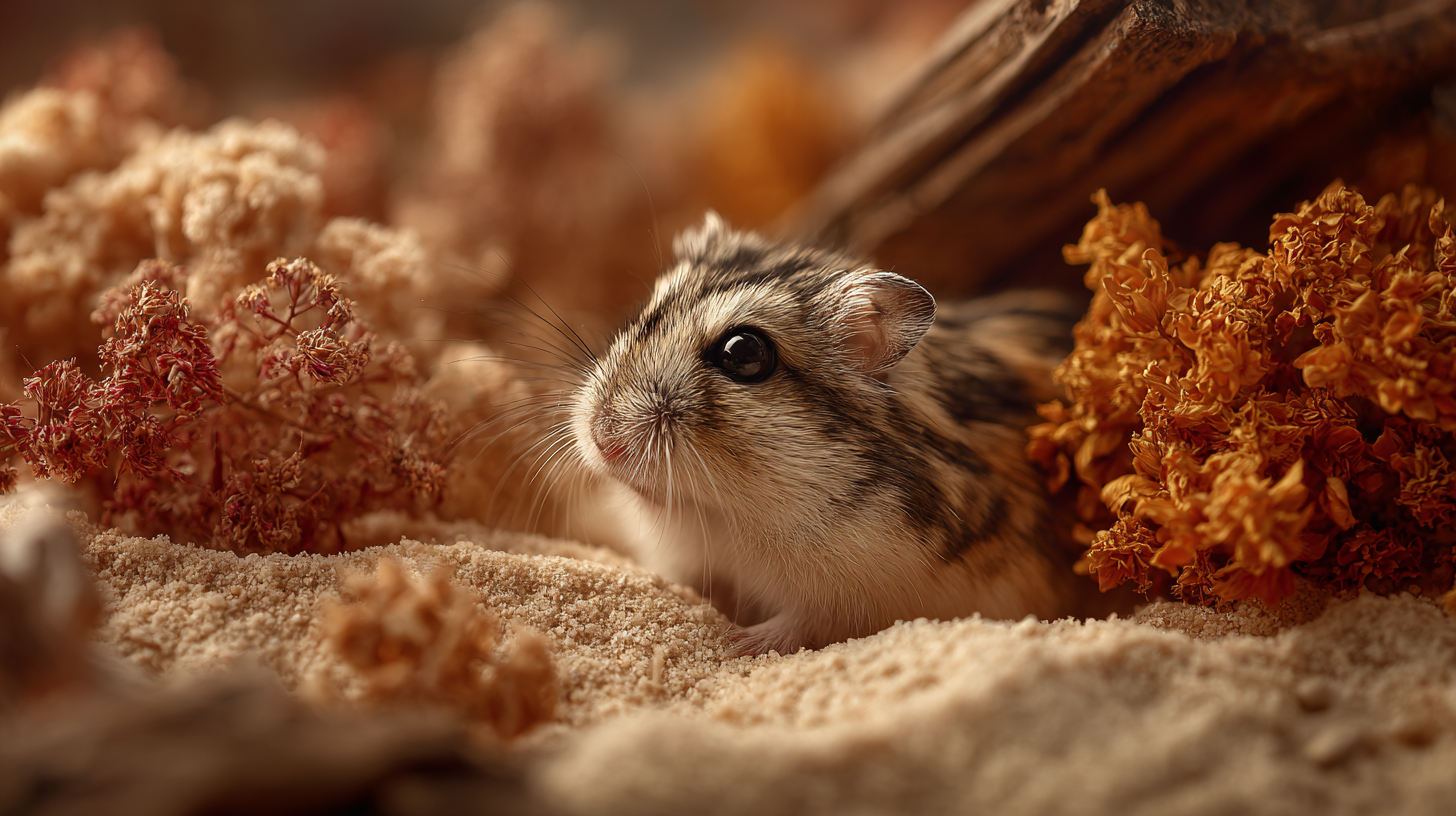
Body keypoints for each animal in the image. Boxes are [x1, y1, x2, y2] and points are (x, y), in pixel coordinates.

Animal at [570, 213, 1080, 655]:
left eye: (745, 353)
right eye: (644, 311)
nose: (602, 439)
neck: (725, 515)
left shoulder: (864, 588)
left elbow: (798, 624)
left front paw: (732, 642)